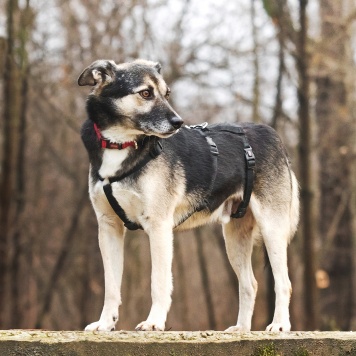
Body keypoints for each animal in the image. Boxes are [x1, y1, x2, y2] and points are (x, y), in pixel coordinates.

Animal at [78, 58, 300, 330]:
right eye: (145, 93)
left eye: (167, 93)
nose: (178, 122)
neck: (122, 144)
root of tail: (274, 135)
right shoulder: (109, 227)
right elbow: (111, 286)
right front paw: (105, 323)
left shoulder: (159, 227)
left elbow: (159, 282)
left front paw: (154, 322)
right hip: (234, 237)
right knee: (250, 284)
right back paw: (241, 328)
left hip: (272, 228)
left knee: (284, 283)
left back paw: (280, 325)